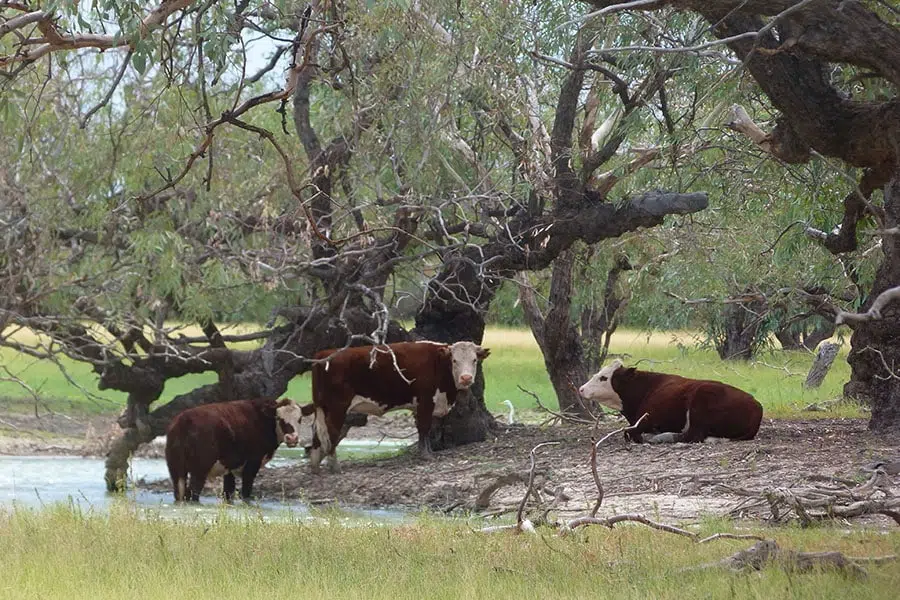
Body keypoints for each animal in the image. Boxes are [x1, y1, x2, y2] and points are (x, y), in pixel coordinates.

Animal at [165, 397, 304, 503]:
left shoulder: (229, 467)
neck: (263, 419)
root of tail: (184, 420)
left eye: (300, 419)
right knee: (193, 492)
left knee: (180, 493)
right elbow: (246, 492)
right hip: (200, 469)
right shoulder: (253, 463)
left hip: (176, 470)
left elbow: (228, 492)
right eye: (279, 418)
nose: (292, 438)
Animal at [308, 340, 490, 473]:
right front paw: (425, 455)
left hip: (323, 408)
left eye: (474, 360)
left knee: (317, 432)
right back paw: (335, 467)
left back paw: (315, 467)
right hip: (337, 407)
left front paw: (429, 451)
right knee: (331, 432)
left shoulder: (422, 405)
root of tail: (323, 355)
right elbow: (424, 427)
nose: (466, 378)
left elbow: (425, 430)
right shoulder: (425, 401)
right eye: (454, 360)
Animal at [578, 359, 762, 443]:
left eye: (604, 378)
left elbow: (629, 432)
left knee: (692, 435)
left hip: (701, 401)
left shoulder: (647, 419)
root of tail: (756, 405)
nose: (581, 389)